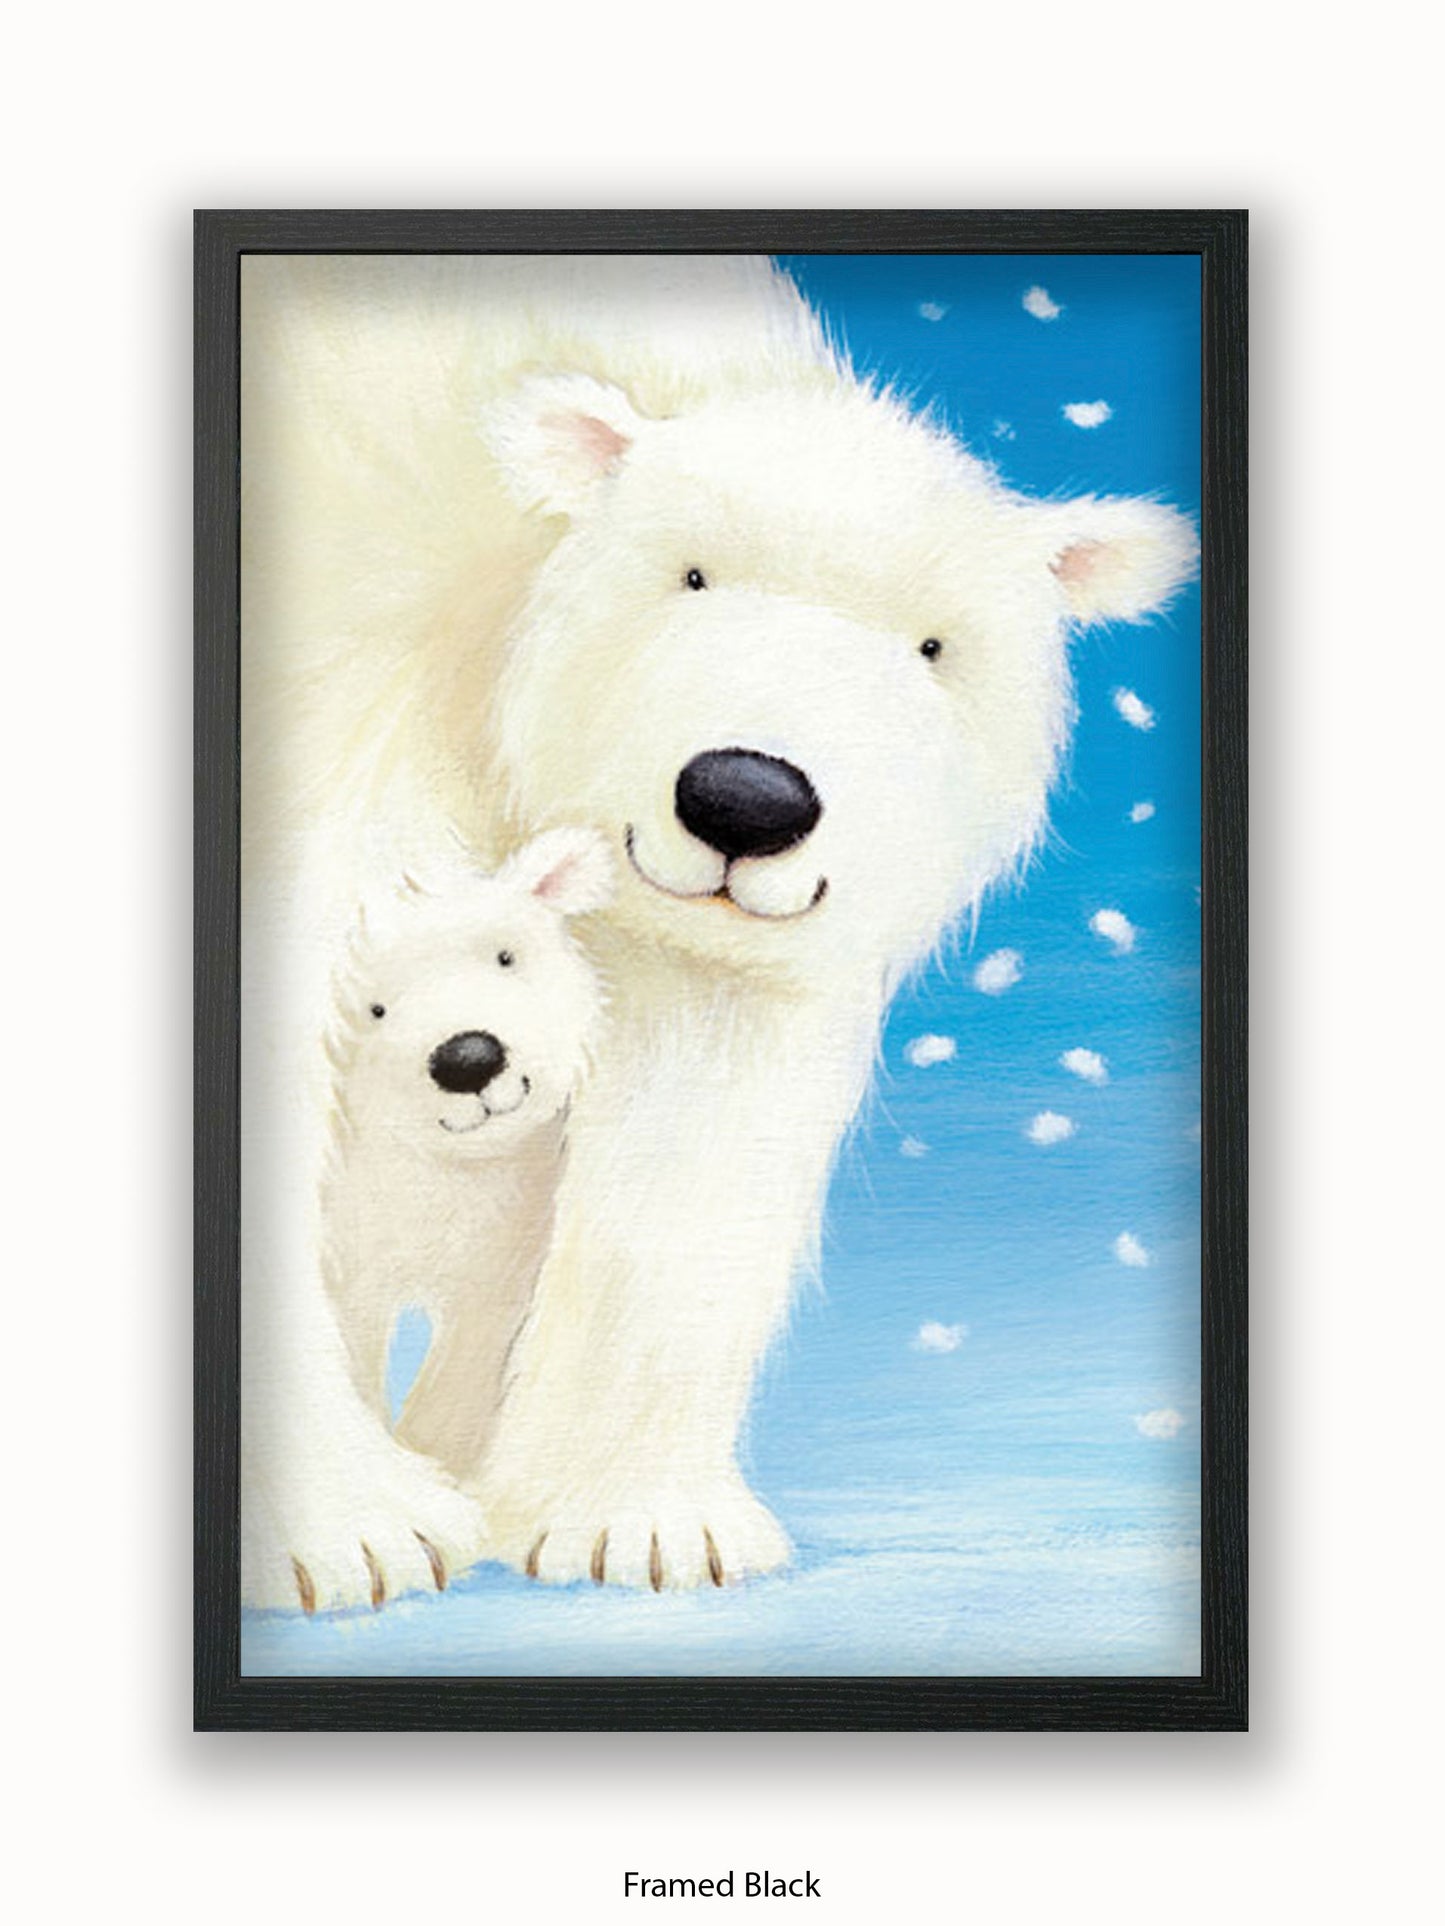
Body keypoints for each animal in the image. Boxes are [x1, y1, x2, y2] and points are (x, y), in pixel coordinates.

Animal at [239, 255, 1196, 1601]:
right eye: (687, 574)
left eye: (932, 643)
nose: (746, 796)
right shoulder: (350, 705)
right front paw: (357, 1532)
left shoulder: (715, 938)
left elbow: (693, 1115)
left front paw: (633, 1523)